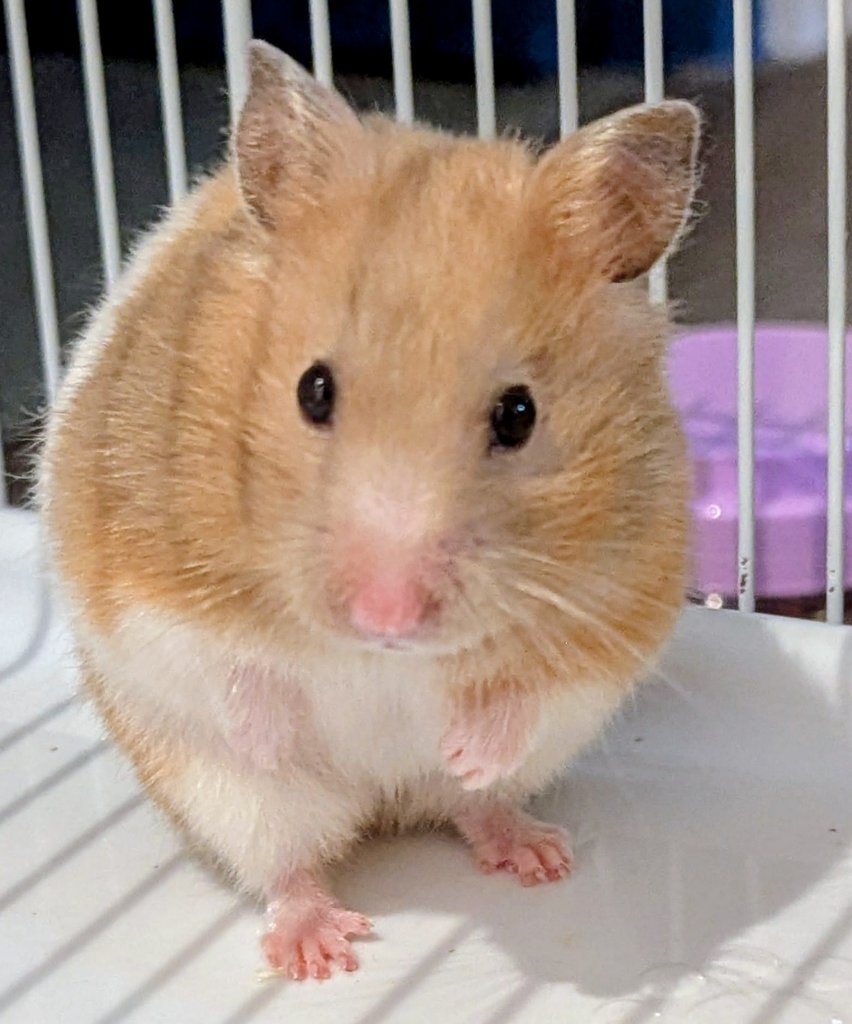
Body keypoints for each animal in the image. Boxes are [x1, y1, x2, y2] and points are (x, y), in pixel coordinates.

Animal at [39, 40, 699, 981]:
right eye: (312, 390)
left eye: (519, 415)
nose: (385, 618)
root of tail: (387, 804)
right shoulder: (140, 576)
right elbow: (228, 664)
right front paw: (279, 737)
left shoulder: (622, 598)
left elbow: (531, 687)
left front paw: (463, 747)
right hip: (225, 797)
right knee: (286, 858)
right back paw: (319, 952)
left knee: (469, 809)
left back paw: (532, 851)